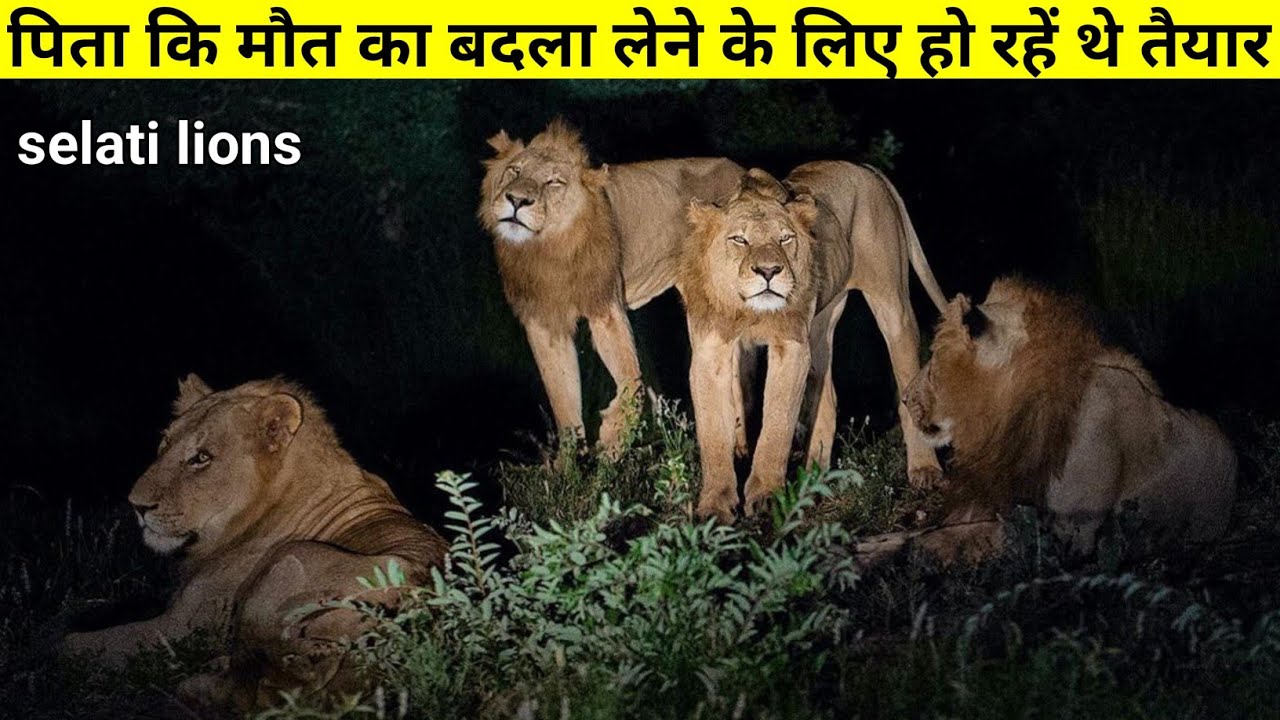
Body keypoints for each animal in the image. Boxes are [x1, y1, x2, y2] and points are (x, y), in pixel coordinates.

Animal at [62, 375, 447, 711]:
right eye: (164, 445)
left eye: (201, 457)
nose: (136, 505)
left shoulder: (181, 625)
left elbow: (83, 644)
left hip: (291, 557)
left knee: (260, 685)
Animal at [480, 119, 744, 454]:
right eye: (514, 170)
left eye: (554, 182)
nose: (516, 200)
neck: (547, 249)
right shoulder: (545, 321)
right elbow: (563, 399)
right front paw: (570, 463)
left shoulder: (605, 307)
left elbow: (632, 381)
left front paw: (610, 443)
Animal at [678, 163, 948, 522]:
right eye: (739, 239)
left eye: (785, 238)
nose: (769, 271)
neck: (745, 309)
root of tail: (865, 168)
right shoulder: (710, 353)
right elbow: (712, 432)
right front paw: (714, 505)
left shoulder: (791, 346)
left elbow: (777, 424)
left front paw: (766, 497)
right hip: (821, 324)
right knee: (828, 398)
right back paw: (812, 481)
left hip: (894, 305)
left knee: (906, 386)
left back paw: (924, 470)